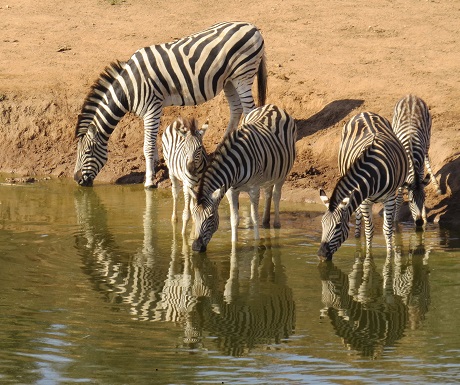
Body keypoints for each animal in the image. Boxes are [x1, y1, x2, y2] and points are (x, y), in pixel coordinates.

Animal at [73, 21, 268, 188]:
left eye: (87, 152)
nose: (77, 180)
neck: (129, 89)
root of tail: (252, 27)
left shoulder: (152, 107)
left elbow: (147, 146)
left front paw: (149, 181)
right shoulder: (152, 109)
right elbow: (152, 141)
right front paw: (156, 164)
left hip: (243, 75)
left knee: (250, 109)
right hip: (229, 80)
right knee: (236, 109)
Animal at [191, 104, 296, 252]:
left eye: (210, 217)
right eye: (194, 216)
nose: (196, 247)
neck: (235, 166)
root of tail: (272, 106)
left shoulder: (254, 189)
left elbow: (254, 217)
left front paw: (257, 243)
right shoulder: (231, 191)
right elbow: (234, 220)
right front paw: (234, 245)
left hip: (283, 172)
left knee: (276, 195)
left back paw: (276, 224)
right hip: (270, 172)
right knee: (268, 192)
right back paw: (266, 221)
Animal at [318, 112, 408, 260]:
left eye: (337, 226)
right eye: (322, 223)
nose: (321, 255)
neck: (373, 173)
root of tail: (364, 113)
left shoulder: (389, 199)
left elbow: (387, 230)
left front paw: (389, 257)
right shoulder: (365, 200)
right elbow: (369, 230)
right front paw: (367, 256)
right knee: (359, 215)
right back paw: (357, 237)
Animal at [392, 95, 442, 226]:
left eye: (424, 199)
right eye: (410, 201)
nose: (419, 222)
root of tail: (410, 96)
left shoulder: (419, 168)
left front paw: (425, 218)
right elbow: (399, 197)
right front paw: (395, 219)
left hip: (428, 138)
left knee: (427, 158)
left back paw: (436, 184)